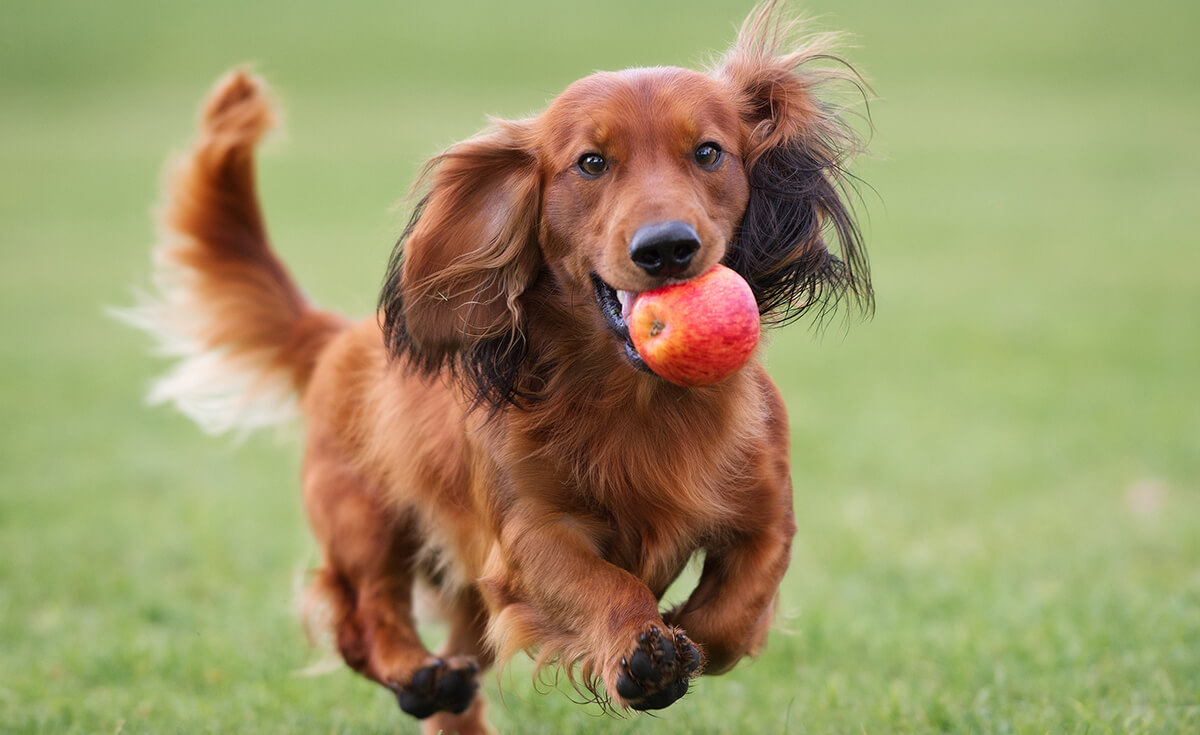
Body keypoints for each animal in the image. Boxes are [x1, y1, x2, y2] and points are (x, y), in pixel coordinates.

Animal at [124, 2, 873, 730]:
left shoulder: (767, 514)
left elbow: (732, 614)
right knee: (363, 613)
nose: (666, 248)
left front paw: (683, 629)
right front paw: (642, 650)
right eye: (591, 163)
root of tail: (335, 336)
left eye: (710, 152)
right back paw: (414, 671)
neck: (639, 400)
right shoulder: (528, 536)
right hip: (364, 516)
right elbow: (604, 582)